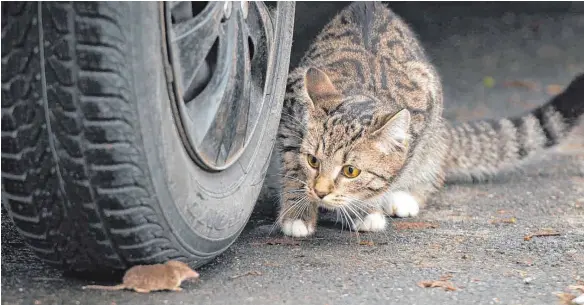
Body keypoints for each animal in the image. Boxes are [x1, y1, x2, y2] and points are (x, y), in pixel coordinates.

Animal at [272, 1, 584, 236]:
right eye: (313, 161)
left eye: (351, 171)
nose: (320, 192)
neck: (360, 88)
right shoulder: (289, 103)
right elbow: (291, 166)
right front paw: (298, 211)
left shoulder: (425, 101)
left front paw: (364, 208)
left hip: (434, 131)